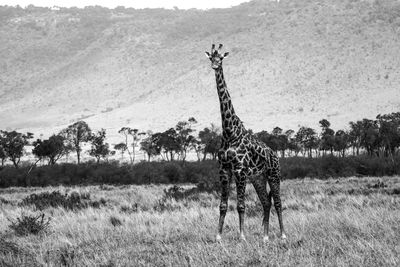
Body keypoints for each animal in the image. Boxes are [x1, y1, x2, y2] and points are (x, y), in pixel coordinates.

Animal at [205, 43, 286, 243]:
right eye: (211, 57)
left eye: (221, 58)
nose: (214, 66)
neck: (229, 132)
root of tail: (275, 155)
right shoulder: (224, 169)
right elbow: (223, 205)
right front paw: (218, 236)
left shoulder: (240, 170)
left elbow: (241, 205)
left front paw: (242, 236)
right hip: (258, 178)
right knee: (266, 202)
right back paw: (265, 237)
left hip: (274, 174)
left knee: (278, 202)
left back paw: (282, 234)